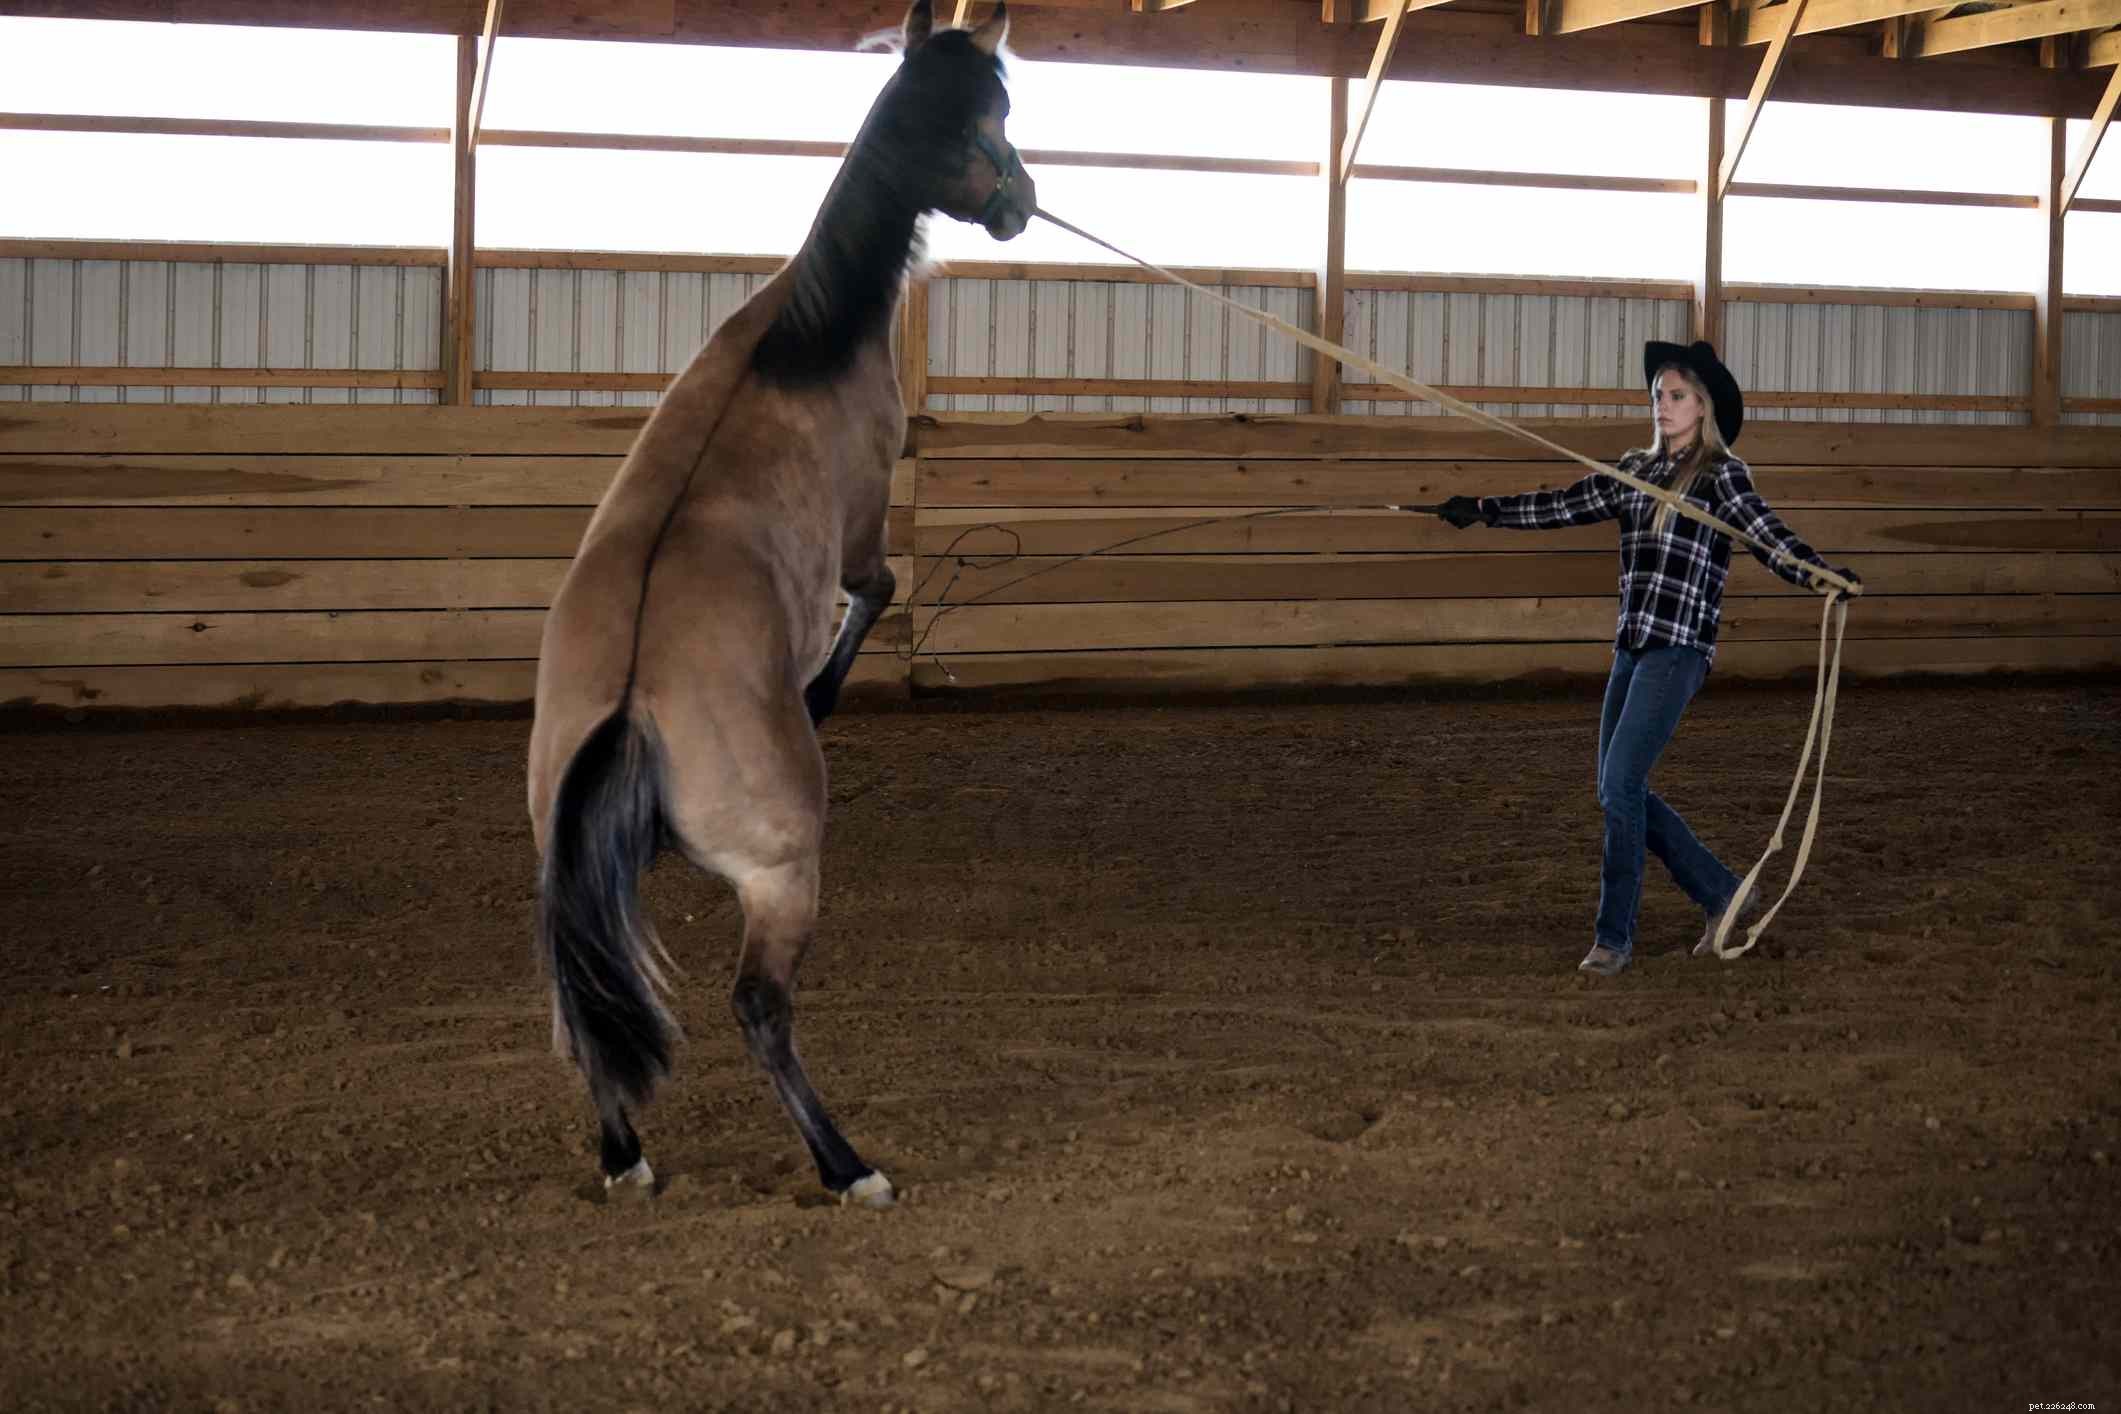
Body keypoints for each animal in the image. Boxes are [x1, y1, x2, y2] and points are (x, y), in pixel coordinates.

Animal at [526, 0, 1035, 1209]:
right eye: (997, 116)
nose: (1021, 201)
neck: (801, 339)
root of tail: (629, 701)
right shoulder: (862, 531)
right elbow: (877, 592)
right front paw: (822, 693)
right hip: (781, 876)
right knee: (758, 1006)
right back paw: (847, 1166)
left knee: (586, 1003)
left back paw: (625, 1158)